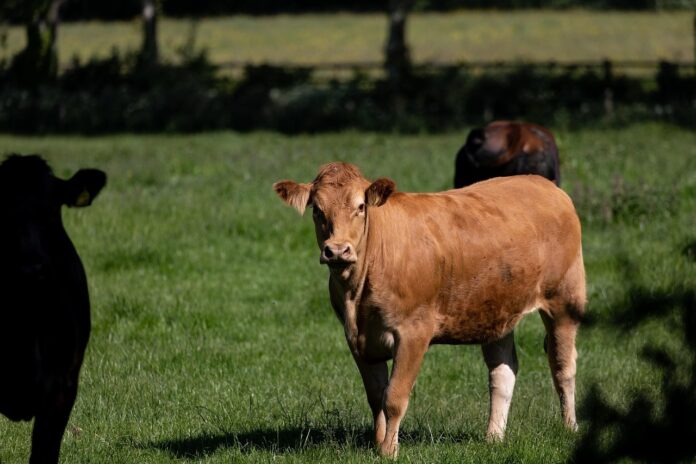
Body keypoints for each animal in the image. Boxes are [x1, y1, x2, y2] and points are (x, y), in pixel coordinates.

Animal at [274, 162, 585, 458]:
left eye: (360, 207)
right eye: (317, 210)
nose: (337, 250)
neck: (357, 292)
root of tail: (543, 184)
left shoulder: (414, 332)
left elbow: (394, 397)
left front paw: (389, 451)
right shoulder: (357, 338)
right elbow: (375, 396)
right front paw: (378, 443)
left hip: (564, 300)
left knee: (562, 367)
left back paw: (569, 427)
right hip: (496, 309)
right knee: (503, 372)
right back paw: (493, 437)